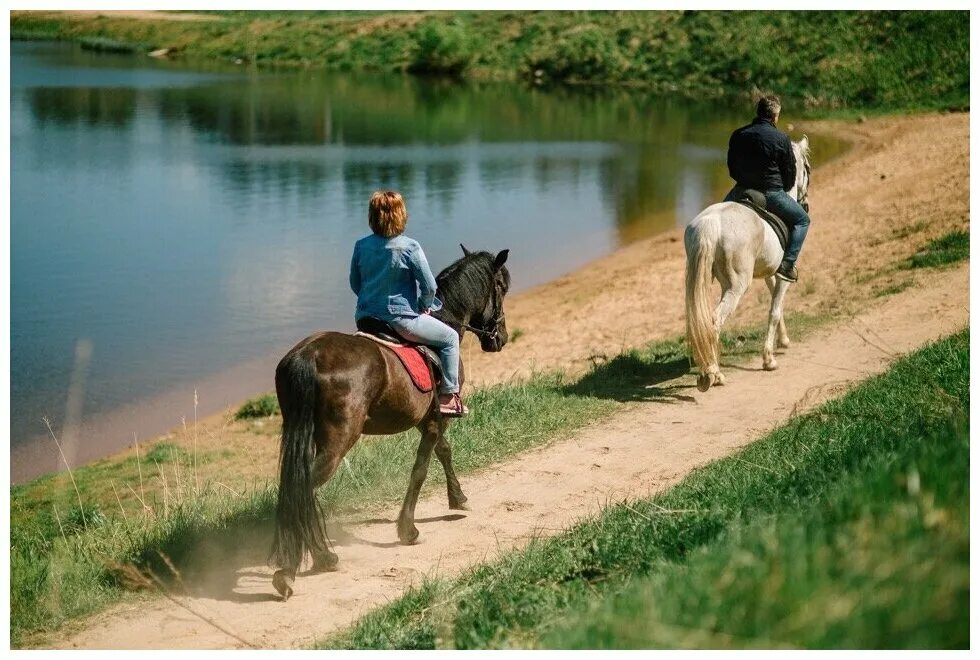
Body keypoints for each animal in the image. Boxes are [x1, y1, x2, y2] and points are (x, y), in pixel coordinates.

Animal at [270, 246, 510, 600]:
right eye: (501, 287)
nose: (500, 338)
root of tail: (308, 356)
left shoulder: (427, 419)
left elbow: (444, 452)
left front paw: (458, 497)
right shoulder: (436, 420)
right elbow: (421, 469)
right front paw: (408, 529)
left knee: (297, 489)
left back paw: (312, 558)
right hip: (339, 440)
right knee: (303, 489)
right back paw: (301, 564)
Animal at [680, 135, 812, 392]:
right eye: (807, 169)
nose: (805, 203)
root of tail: (711, 224)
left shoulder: (771, 273)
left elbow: (777, 307)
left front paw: (783, 341)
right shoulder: (783, 275)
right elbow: (774, 310)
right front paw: (769, 360)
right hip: (735, 287)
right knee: (714, 322)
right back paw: (716, 374)